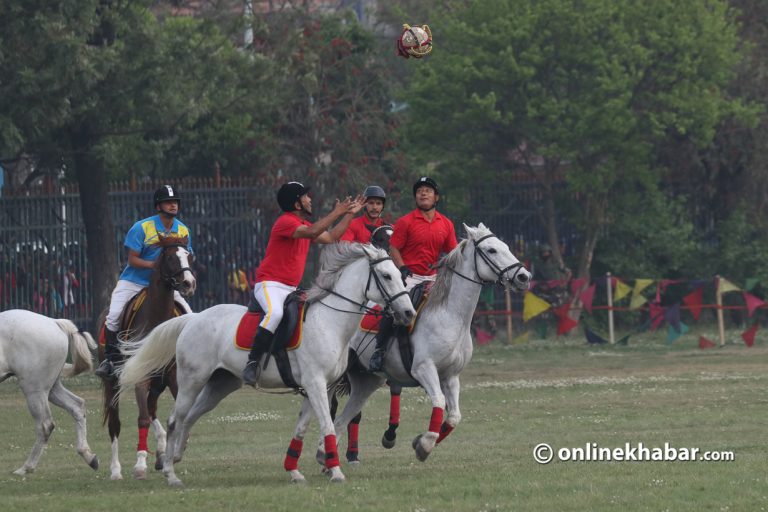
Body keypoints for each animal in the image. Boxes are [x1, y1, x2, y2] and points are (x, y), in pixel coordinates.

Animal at [0, 308, 100, 476]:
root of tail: (54, 322)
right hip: (52, 388)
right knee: (77, 406)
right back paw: (89, 456)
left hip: (35, 390)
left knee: (45, 425)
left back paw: (26, 468)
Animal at [97, 236, 195, 480]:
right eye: (170, 257)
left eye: (189, 256)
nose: (189, 283)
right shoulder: (141, 377)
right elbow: (141, 418)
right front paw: (140, 464)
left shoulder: (173, 377)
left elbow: (178, 415)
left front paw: (171, 453)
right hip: (113, 381)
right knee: (116, 421)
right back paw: (116, 470)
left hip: (158, 383)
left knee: (152, 410)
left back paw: (160, 451)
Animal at [118, 242, 414, 486]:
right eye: (386, 276)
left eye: (399, 275)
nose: (408, 312)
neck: (329, 321)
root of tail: (194, 319)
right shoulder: (316, 385)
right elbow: (328, 426)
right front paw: (336, 472)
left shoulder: (321, 388)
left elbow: (302, 428)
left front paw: (294, 471)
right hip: (192, 381)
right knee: (174, 419)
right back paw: (170, 472)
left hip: (220, 384)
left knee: (190, 417)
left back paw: (177, 456)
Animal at [324, 224, 528, 464]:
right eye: (491, 250)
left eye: (505, 246)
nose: (523, 276)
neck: (451, 316)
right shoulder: (423, 369)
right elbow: (438, 402)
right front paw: (425, 444)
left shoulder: (451, 376)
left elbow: (454, 416)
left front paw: (420, 442)